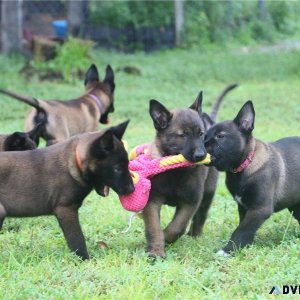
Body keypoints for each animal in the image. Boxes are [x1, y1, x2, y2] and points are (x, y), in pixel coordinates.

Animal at [0, 120, 134, 258]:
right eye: (117, 169)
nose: (132, 189)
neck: (75, 160)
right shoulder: (66, 209)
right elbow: (77, 238)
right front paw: (85, 259)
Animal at [142, 84, 237, 258]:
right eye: (183, 135)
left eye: (201, 134)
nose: (201, 155)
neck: (174, 172)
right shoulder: (152, 201)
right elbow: (154, 227)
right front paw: (156, 251)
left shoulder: (190, 200)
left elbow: (178, 226)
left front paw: (166, 237)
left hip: (208, 193)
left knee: (201, 216)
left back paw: (195, 236)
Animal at [206, 101, 300, 255]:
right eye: (204, 136)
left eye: (220, 136)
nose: (199, 145)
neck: (244, 164)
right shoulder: (243, 208)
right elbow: (244, 228)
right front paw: (244, 246)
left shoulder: (259, 209)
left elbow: (241, 230)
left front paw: (228, 250)